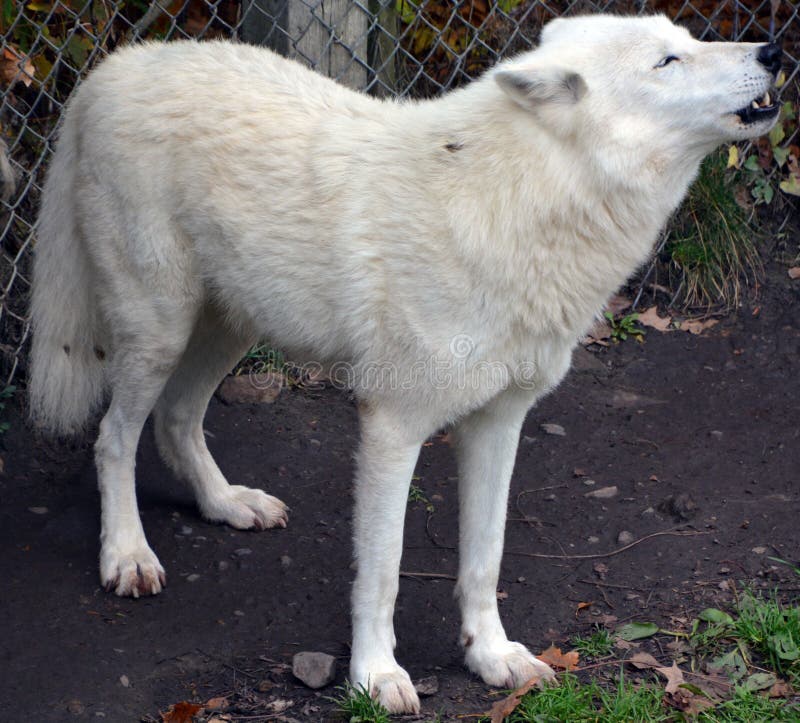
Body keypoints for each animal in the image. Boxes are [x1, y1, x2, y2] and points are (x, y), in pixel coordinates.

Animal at [29, 11, 776, 712]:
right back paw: (127, 555)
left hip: (227, 326)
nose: (772, 51)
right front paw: (375, 676)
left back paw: (227, 504)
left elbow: (485, 559)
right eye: (668, 60)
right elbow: (382, 571)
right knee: (114, 437)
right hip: (158, 328)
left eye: (688, 37)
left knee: (177, 420)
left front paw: (491, 657)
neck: (517, 200)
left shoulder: (499, 422)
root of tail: (115, 66)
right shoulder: (392, 425)